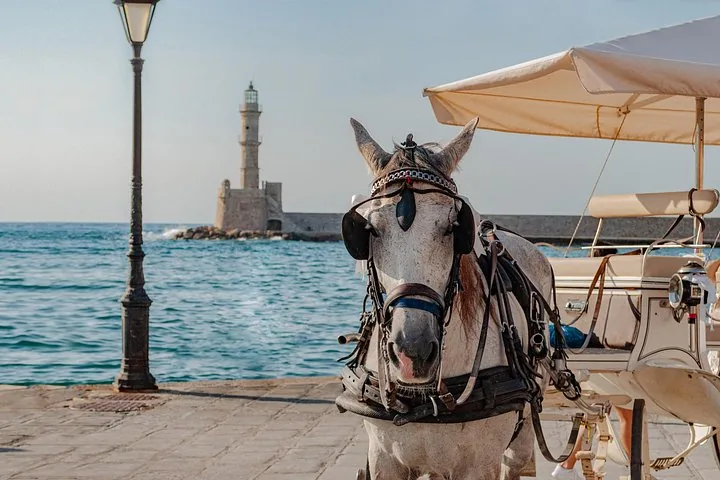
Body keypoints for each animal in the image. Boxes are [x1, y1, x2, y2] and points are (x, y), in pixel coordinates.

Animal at [335, 117, 580, 480]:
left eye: (454, 225)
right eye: (369, 229)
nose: (412, 352)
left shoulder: (480, 464)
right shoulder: (384, 458)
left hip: (522, 434)